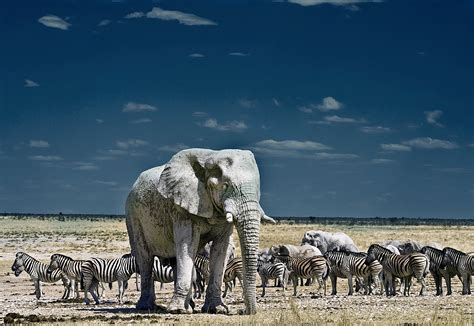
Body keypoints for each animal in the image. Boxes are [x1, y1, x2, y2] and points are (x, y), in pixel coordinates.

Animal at [125, 149, 274, 314]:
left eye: (258, 189)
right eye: (225, 186)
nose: (244, 311)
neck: (211, 156)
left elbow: (220, 249)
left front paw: (217, 309)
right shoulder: (182, 208)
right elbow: (188, 245)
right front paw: (177, 310)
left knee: (175, 260)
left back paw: (188, 305)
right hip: (133, 216)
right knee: (144, 257)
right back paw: (148, 306)